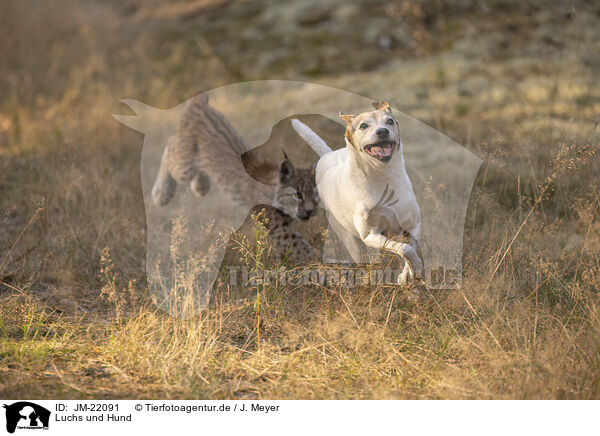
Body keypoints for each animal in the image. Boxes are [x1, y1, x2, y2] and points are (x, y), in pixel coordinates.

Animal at [292, 100, 424, 284]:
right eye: (363, 125)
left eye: (390, 121)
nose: (383, 131)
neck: (383, 177)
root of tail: (328, 155)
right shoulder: (370, 235)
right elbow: (405, 249)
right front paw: (413, 268)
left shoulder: (413, 225)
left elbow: (409, 247)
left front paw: (408, 275)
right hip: (350, 240)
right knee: (364, 258)